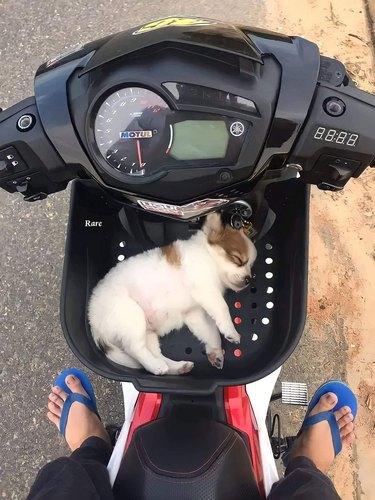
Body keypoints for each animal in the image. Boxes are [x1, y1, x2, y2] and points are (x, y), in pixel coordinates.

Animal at [89, 212, 258, 376]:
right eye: (238, 259)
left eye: (251, 267)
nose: (249, 279)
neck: (209, 257)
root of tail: (93, 321)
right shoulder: (206, 290)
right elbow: (223, 309)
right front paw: (231, 332)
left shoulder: (196, 313)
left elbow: (212, 332)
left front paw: (216, 352)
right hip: (131, 316)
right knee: (134, 349)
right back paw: (156, 366)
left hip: (148, 332)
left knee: (155, 353)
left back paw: (176, 367)